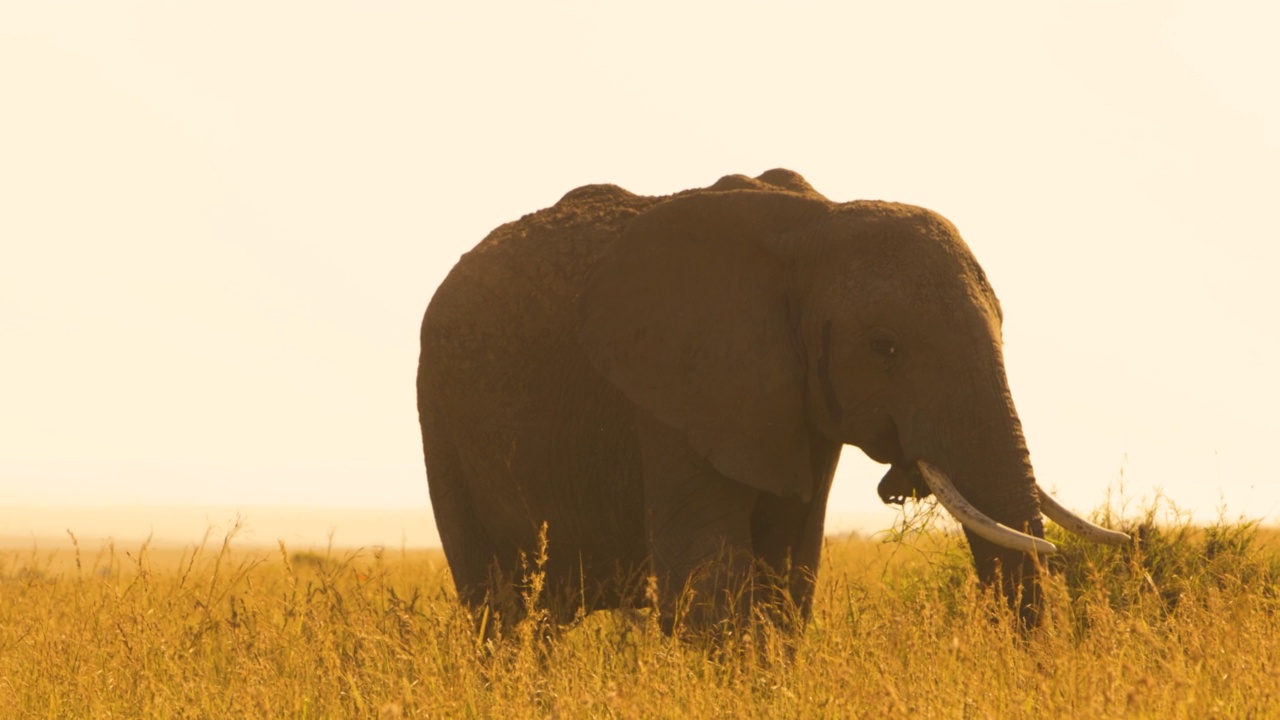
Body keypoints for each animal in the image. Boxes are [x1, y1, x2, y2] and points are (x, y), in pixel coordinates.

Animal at [414, 167, 1126, 627]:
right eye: (885, 347)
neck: (816, 227)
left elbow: (788, 571)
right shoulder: (676, 389)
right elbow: (709, 578)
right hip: (438, 416)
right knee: (501, 613)